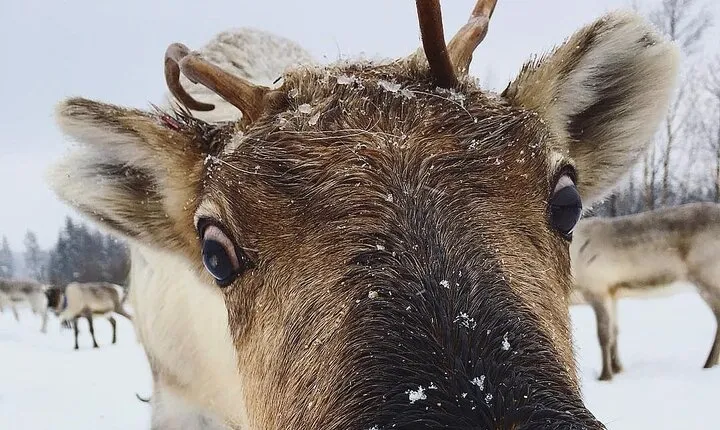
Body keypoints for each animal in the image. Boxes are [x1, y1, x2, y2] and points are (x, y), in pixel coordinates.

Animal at [571, 201, 720, 381]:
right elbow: (615, 332)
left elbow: (604, 336)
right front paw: (618, 369)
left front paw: (605, 376)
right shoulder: (612, 293)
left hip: (707, 278)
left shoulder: (597, 289)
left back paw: (708, 365)